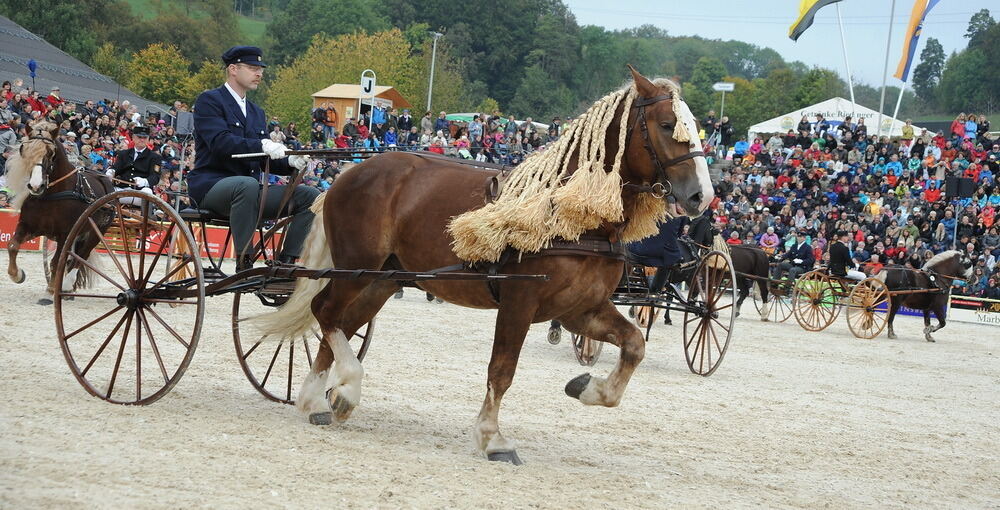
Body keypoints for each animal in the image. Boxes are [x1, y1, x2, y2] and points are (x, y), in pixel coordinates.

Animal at [5, 120, 113, 302]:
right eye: (24, 150)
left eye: (50, 153)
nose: (35, 186)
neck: (51, 195)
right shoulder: (30, 227)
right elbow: (13, 246)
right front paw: (17, 275)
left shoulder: (65, 234)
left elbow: (56, 262)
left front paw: (50, 290)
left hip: (97, 231)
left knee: (82, 256)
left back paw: (67, 285)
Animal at [254, 68, 716, 466]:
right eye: (665, 125)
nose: (702, 196)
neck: (573, 213)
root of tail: (347, 173)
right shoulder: (519, 302)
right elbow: (502, 370)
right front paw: (492, 438)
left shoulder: (580, 310)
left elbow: (634, 344)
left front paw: (589, 387)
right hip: (357, 269)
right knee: (326, 313)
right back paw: (343, 389)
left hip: (381, 281)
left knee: (339, 326)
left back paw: (318, 398)